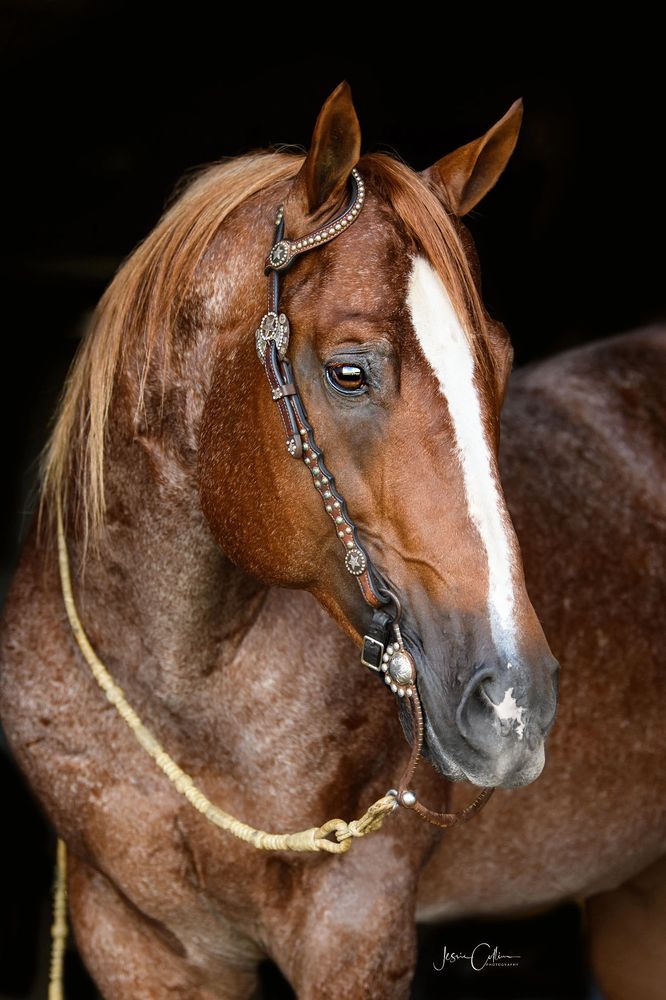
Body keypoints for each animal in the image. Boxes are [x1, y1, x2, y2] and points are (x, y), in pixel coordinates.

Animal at [0, 80, 663, 999]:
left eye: (497, 365)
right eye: (349, 372)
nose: (514, 702)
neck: (183, 685)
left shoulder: (352, 929)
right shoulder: (135, 939)